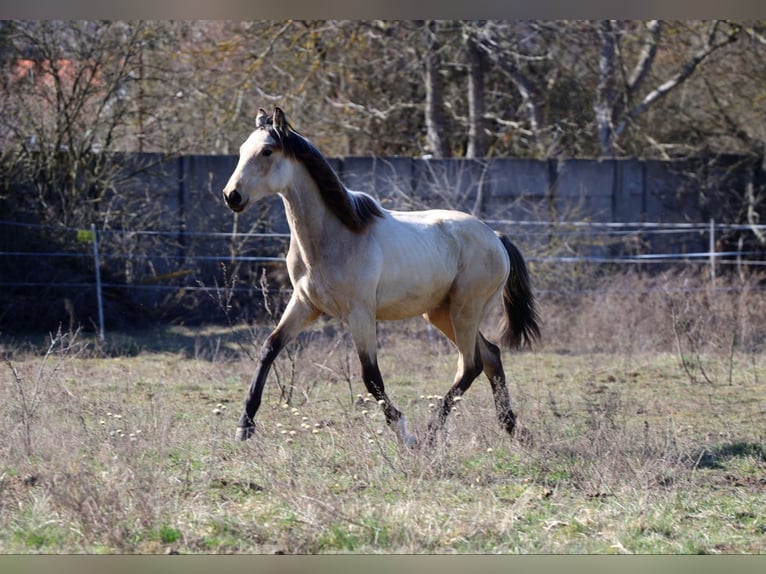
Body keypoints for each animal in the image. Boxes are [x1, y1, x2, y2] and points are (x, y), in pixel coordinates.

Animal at [222, 106, 540, 447]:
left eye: (267, 151)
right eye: (242, 150)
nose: (232, 196)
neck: (335, 236)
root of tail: (496, 237)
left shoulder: (360, 314)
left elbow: (370, 375)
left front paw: (404, 433)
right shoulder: (306, 304)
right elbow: (269, 348)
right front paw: (244, 425)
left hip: (465, 309)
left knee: (471, 365)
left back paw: (430, 435)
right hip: (441, 313)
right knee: (490, 356)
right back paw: (512, 429)